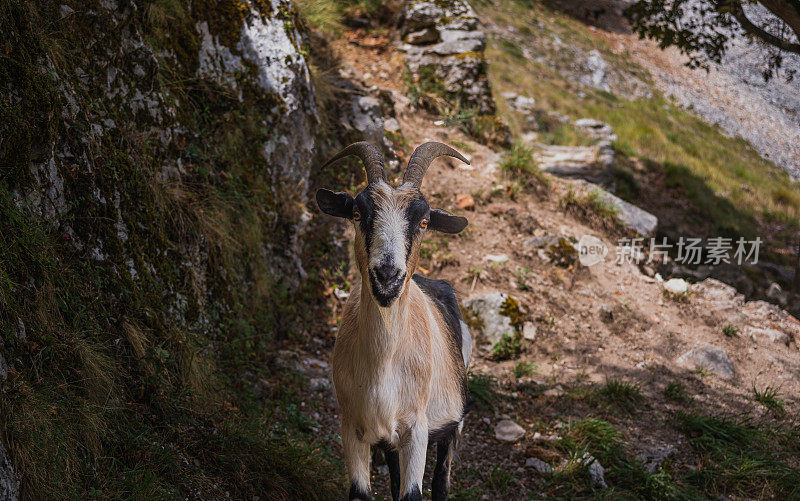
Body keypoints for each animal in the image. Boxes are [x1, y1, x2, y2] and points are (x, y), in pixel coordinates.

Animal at [316, 141, 472, 500]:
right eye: (357, 214)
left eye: (424, 221)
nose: (388, 276)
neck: (383, 363)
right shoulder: (353, 427)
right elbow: (364, 492)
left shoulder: (417, 429)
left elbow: (412, 492)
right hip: (389, 440)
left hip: (451, 424)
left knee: (441, 478)